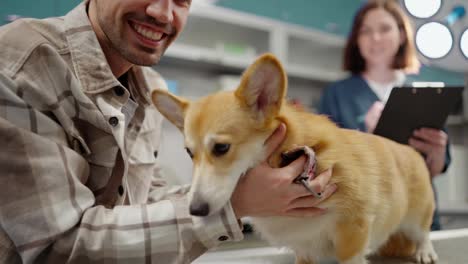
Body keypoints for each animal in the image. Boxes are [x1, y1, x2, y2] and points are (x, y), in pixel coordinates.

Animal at [153, 54, 438, 264]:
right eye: (190, 153)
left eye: (222, 148)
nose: (194, 211)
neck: (287, 153)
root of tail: (409, 150)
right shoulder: (304, 245)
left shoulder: (353, 226)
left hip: (418, 215)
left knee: (422, 232)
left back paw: (425, 251)